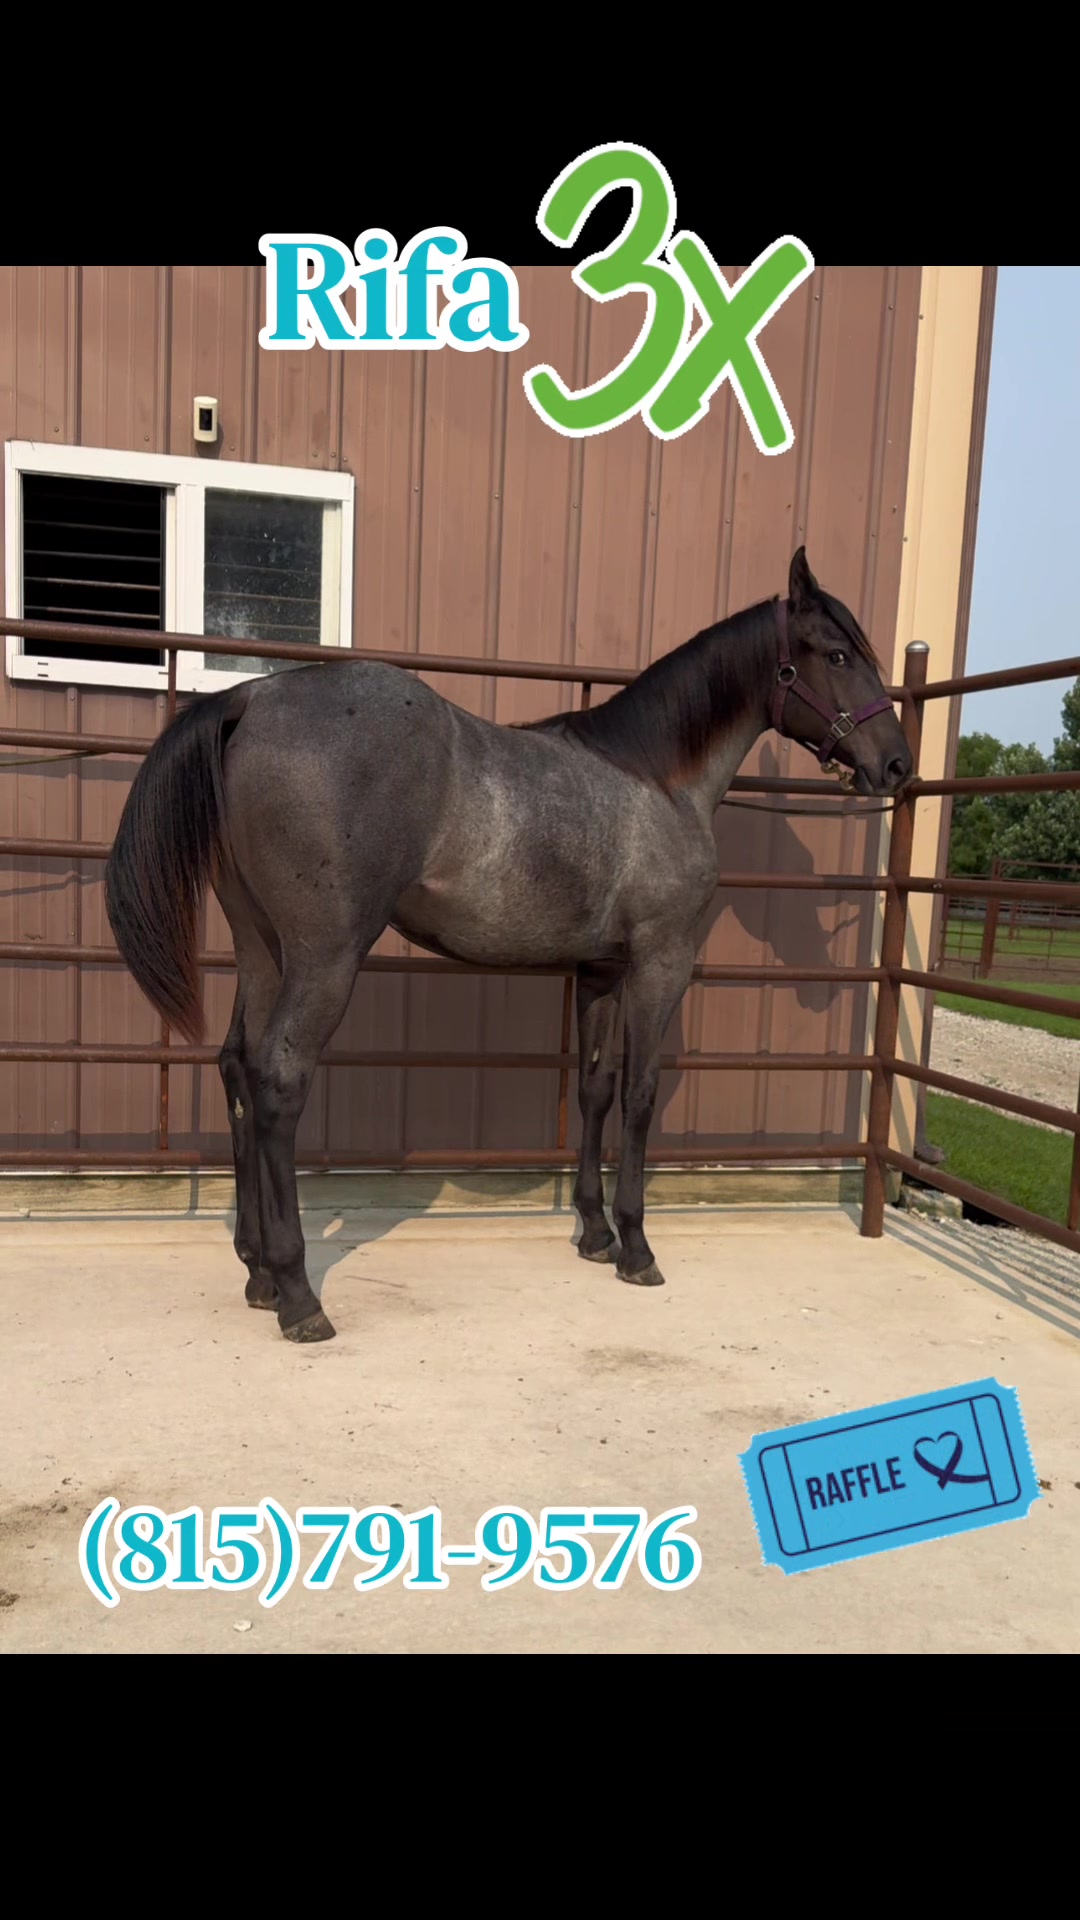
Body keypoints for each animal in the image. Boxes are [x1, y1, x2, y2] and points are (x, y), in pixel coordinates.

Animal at [104, 546, 911, 1346]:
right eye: (838, 653)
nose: (899, 766)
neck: (654, 778)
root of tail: (251, 700)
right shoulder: (660, 962)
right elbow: (640, 1095)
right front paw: (636, 1246)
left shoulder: (600, 971)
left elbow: (595, 1088)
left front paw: (594, 1234)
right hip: (323, 958)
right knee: (278, 1081)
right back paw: (299, 1293)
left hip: (262, 948)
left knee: (238, 1068)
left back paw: (259, 1274)